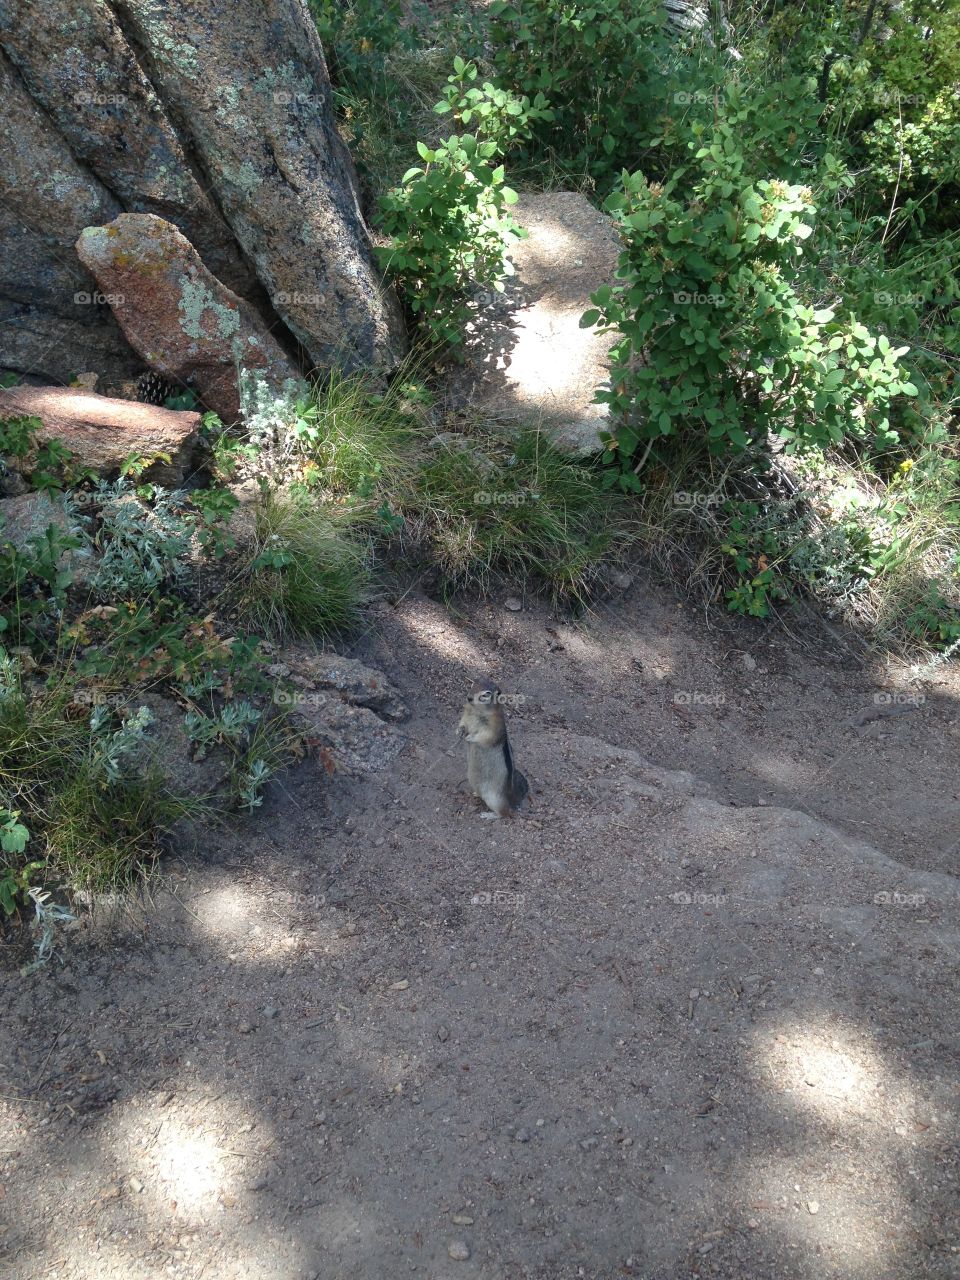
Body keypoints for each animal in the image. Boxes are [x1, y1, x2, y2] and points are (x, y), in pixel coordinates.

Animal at [457, 680, 529, 818]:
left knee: (505, 813)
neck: (477, 711)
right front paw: (460, 731)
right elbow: (462, 723)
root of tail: (511, 797)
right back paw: (476, 794)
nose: (469, 697)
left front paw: (470, 738)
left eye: (486, 694)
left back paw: (489, 815)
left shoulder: (494, 728)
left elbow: (484, 737)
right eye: (473, 684)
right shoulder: (466, 716)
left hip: (495, 799)